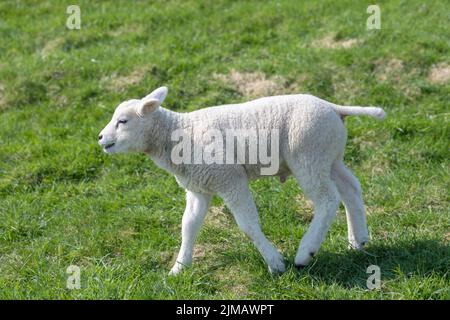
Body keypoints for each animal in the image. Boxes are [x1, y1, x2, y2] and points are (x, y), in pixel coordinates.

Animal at [97, 85, 384, 276]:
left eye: (122, 121)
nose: (100, 138)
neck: (177, 134)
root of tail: (333, 107)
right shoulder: (199, 187)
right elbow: (188, 226)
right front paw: (179, 268)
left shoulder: (230, 179)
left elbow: (247, 224)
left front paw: (275, 263)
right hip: (328, 155)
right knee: (350, 189)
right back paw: (357, 241)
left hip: (308, 154)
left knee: (327, 199)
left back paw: (306, 252)